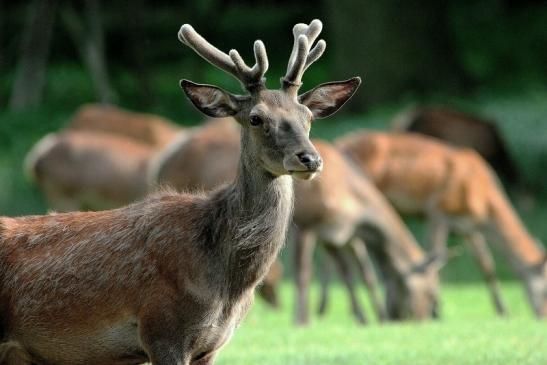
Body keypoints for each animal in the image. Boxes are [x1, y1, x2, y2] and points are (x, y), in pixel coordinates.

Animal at [0, 20, 362, 364]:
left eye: (308, 116)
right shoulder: (162, 329)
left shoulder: (210, 346)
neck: (227, 287)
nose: (310, 158)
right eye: (256, 118)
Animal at [338, 130, 547, 316]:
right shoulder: (438, 211)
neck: (482, 199)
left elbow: (486, 265)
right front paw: (437, 310)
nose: (542, 315)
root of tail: (341, 143)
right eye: (545, 291)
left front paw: (502, 311)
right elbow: (436, 256)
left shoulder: (468, 227)